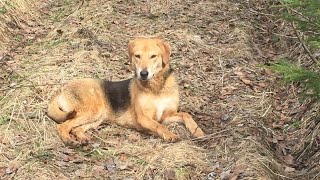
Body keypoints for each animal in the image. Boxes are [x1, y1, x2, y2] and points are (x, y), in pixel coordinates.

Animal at [47, 37, 205, 146]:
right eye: (137, 56)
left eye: (153, 56)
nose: (143, 74)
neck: (156, 88)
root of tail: (62, 88)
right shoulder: (144, 118)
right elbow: (158, 125)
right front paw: (169, 134)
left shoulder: (166, 115)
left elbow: (186, 115)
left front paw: (198, 131)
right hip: (93, 110)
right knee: (63, 126)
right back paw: (68, 140)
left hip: (97, 118)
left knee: (76, 128)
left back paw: (83, 138)